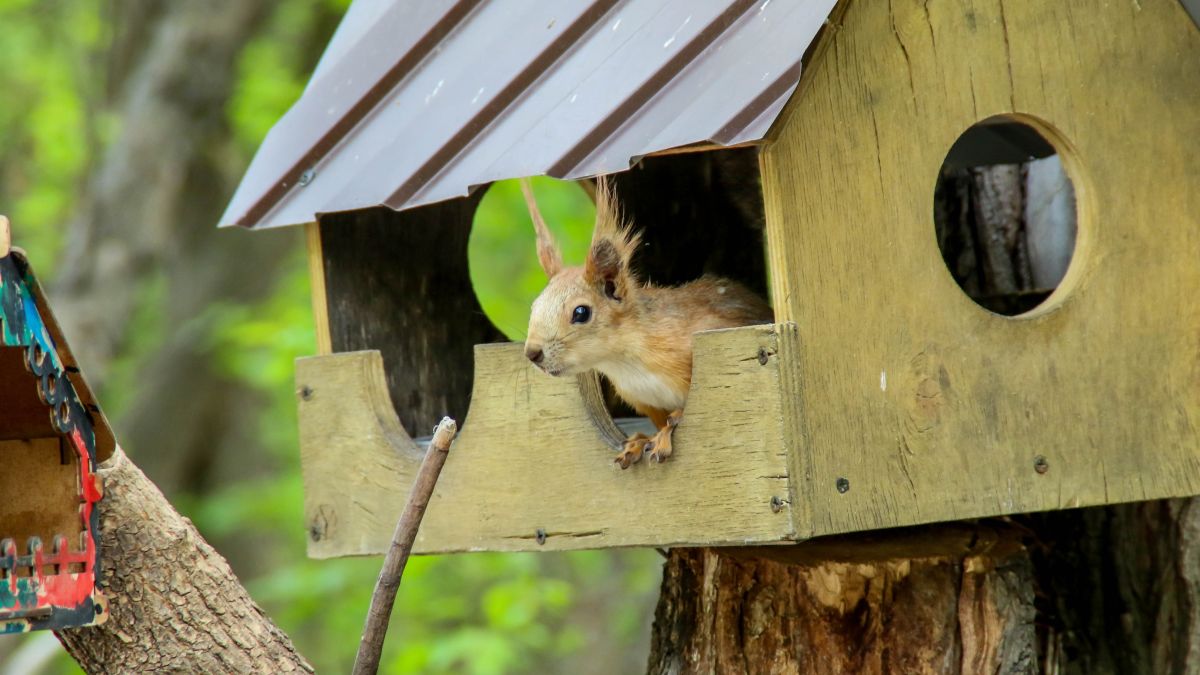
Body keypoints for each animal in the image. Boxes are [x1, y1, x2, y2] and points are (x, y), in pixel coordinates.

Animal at [523, 176, 768, 466]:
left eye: (581, 313)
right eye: (534, 306)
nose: (532, 353)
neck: (626, 362)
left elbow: (679, 415)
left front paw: (665, 434)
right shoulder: (646, 402)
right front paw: (639, 441)